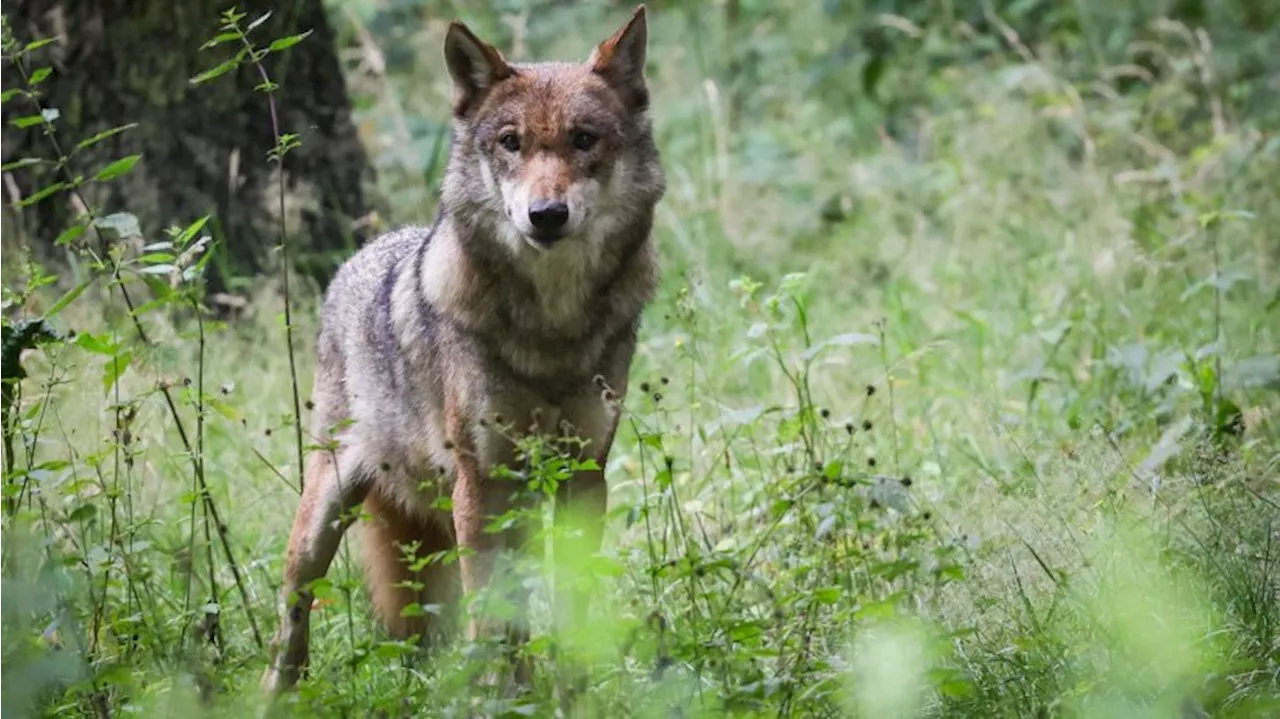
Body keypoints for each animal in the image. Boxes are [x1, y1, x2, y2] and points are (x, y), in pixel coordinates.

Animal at [256, 2, 665, 690]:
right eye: (511, 143)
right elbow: (489, 611)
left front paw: (574, 688)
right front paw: (497, 694)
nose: (545, 215)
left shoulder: (584, 474)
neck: (551, 329)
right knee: (293, 613)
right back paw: (276, 693)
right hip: (325, 515)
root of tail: (362, 255)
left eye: (584, 139)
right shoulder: (480, 481)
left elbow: (571, 603)